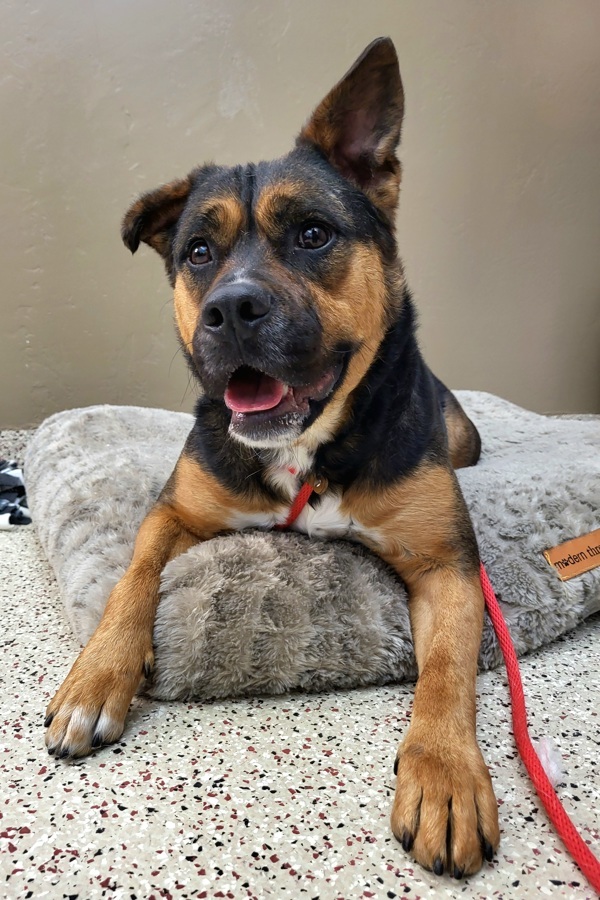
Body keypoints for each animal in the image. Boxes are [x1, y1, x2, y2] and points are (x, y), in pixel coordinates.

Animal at [44, 38, 500, 876]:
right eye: (198, 252)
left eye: (313, 234)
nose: (231, 309)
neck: (306, 444)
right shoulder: (175, 508)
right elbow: (132, 578)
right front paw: (98, 675)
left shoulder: (447, 563)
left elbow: (449, 673)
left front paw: (446, 773)